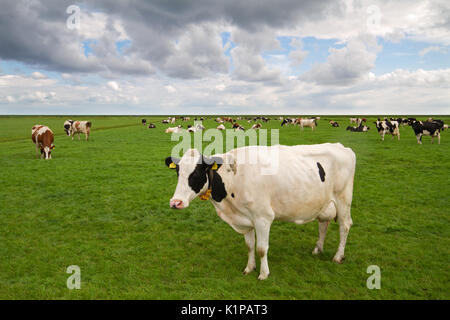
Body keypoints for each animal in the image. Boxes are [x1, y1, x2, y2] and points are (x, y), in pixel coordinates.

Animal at [165, 144, 356, 280]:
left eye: (196, 173)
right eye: (178, 172)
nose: (175, 202)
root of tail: (341, 146)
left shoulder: (263, 218)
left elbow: (261, 249)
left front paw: (264, 274)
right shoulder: (245, 218)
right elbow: (250, 246)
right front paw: (249, 268)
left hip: (343, 200)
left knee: (345, 226)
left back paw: (338, 256)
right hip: (324, 203)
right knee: (323, 224)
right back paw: (318, 249)